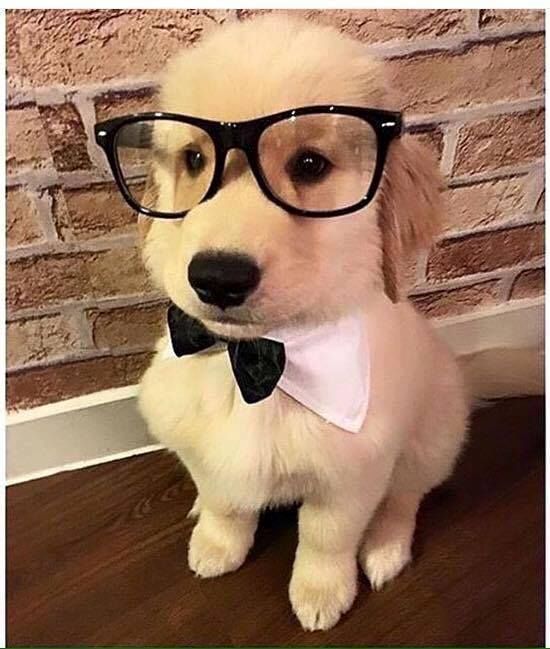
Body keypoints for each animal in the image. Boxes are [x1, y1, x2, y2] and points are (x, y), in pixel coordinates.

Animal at [135, 15, 470, 632]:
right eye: (194, 160)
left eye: (310, 165)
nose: (217, 278)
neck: (257, 359)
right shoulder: (202, 447)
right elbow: (225, 502)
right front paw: (216, 545)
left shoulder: (353, 476)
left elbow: (325, 539)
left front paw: (321, 593)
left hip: (433, 436)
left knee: (406, 498)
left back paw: (385, 550)